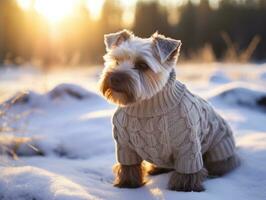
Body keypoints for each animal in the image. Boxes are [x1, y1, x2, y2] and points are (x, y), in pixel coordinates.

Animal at [98, 29, 240, 191]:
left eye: (142, 65)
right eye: (116, 61)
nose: (115, 78)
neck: (146, 105)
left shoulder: (188, 144)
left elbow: (188, 169)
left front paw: (185, 187)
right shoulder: (124, 145)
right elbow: (128, 166)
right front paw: (127, 183)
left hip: (219, 147)